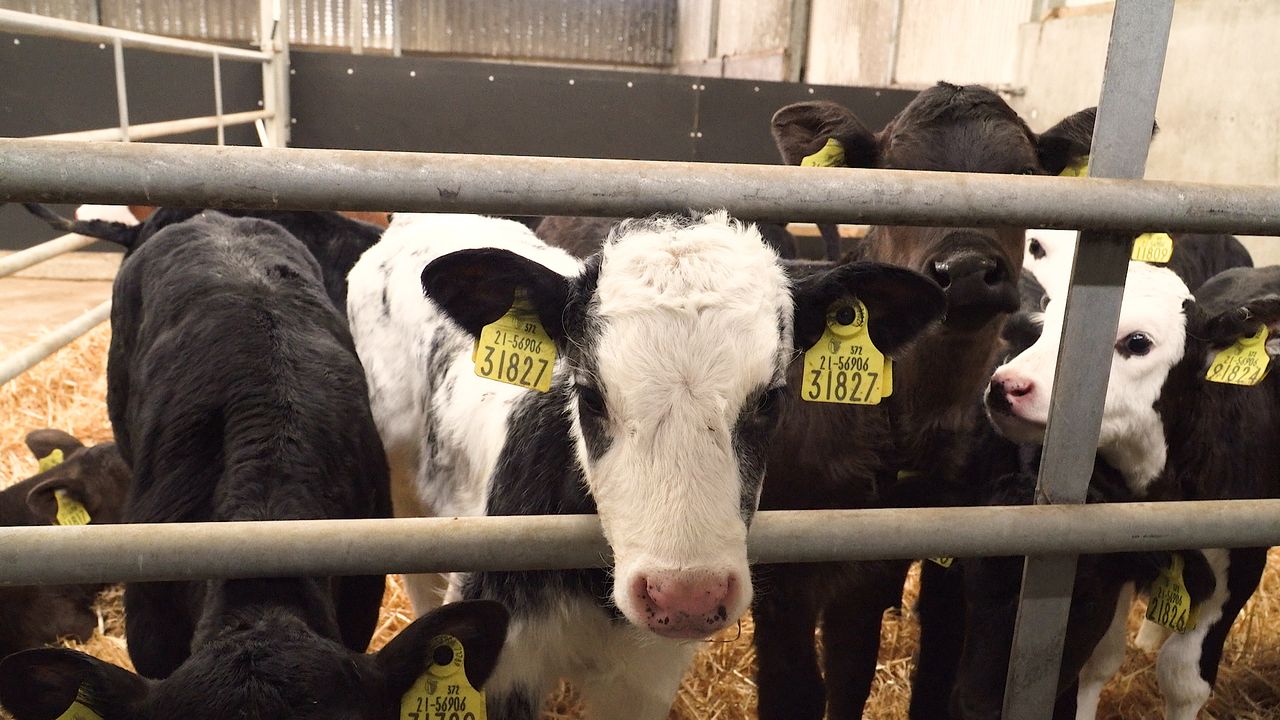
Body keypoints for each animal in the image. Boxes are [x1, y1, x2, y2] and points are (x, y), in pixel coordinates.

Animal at [750, 81, 1099, 720]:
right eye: (896, 176)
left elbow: (868, 675)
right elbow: (796, 690)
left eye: (1023, 175)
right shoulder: (780, 575)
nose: (966, 271)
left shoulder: (901, 564)